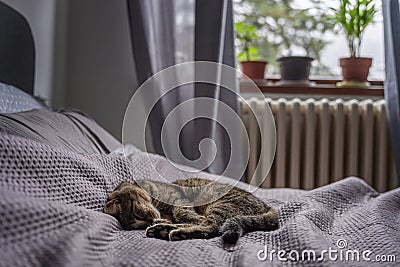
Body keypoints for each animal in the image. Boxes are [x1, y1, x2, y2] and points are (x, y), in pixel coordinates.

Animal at [104, 178, 278, 245]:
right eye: (138, 223)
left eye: (136, 212)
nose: (150, 221)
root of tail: (266, 206)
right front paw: (160, 222)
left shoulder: (179, 200)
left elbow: (183, 213)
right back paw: (161, 229)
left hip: (219, 204)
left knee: (211, 226)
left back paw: (167, 230)